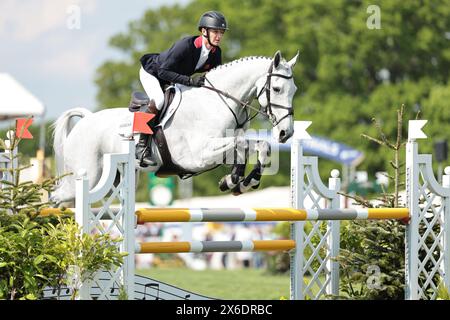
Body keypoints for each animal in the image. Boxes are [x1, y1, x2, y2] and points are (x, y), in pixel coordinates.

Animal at [51, 50, 298, 205]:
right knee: (57, 196)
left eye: (294, 90)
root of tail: (85, 121)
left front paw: (241, 182)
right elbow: (240, 143)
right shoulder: (198, 156)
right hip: (88, 175)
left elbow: (260, 146)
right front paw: (235, 180)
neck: (217, 102)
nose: (286, 133)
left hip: (117, 179)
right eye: (277, 88)